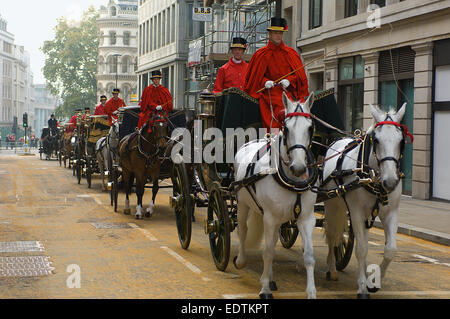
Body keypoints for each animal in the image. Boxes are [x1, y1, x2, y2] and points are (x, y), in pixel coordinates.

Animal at [234, 93, 318, 300]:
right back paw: (241, 261)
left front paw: (311, 292)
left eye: (310, 127)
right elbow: (268, 252)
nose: (299, 168)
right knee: (243, 230)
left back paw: (270, 278)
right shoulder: (270, 217)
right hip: (242, 203)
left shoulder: (306, 218)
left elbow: (309, 256)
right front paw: (264, 288)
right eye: (286, 128)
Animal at [326, 104, 410, 298]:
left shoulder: (390, 212)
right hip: (332, 204)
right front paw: (363, 286)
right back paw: (332, 268)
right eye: (376, 140)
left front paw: (373, 282)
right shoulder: (356, 211)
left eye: (401, 140)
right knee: (332, 234)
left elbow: (390, 250)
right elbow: (362, 249)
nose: (390, 181)